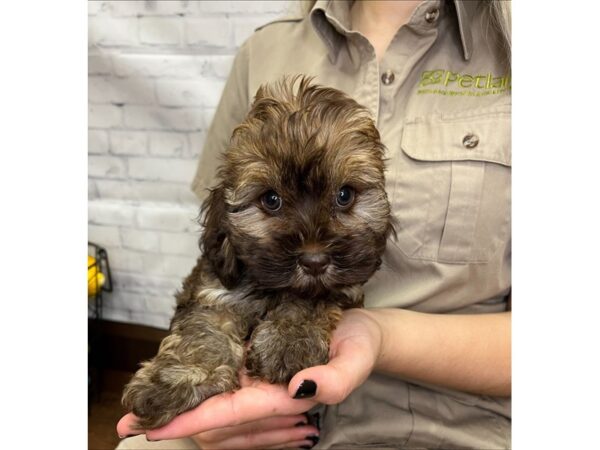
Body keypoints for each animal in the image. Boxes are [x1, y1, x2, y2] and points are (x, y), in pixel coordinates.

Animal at [122, 75, 394, 428]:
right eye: (271, 200)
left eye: (344, 195)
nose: (314, 261)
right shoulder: (215, 289)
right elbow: (203, 327)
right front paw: (177, 379)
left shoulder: (343, 285)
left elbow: (307, 301)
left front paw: (288, 342)